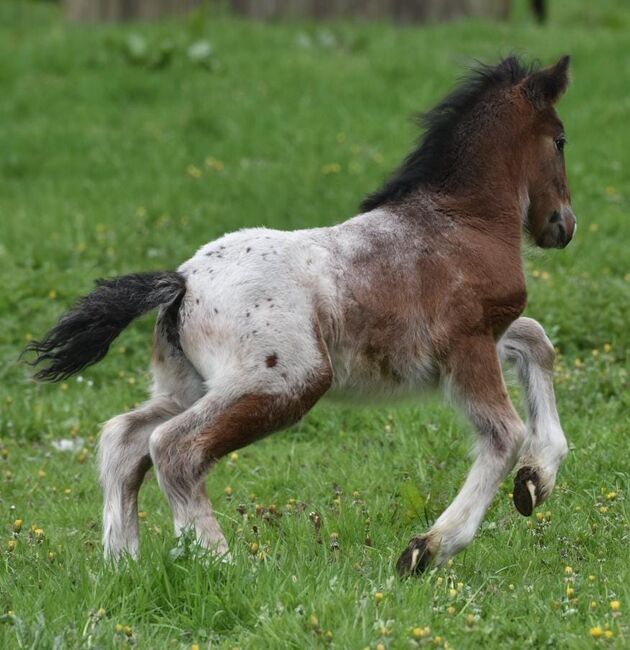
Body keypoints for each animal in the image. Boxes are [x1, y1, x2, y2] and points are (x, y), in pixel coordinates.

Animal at [28, 55, 576, 572]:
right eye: (561, 140)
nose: (564, 226)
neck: (463, 222)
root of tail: (183, 284)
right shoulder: (467, 345)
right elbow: (504, 434)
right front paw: (427, 550)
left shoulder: (487, 335)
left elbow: (537, 342)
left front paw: (536, 479)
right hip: (287, 381)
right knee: (174, 449)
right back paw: (222, 566)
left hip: (192, 385)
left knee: (126, 440)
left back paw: (122, 565)